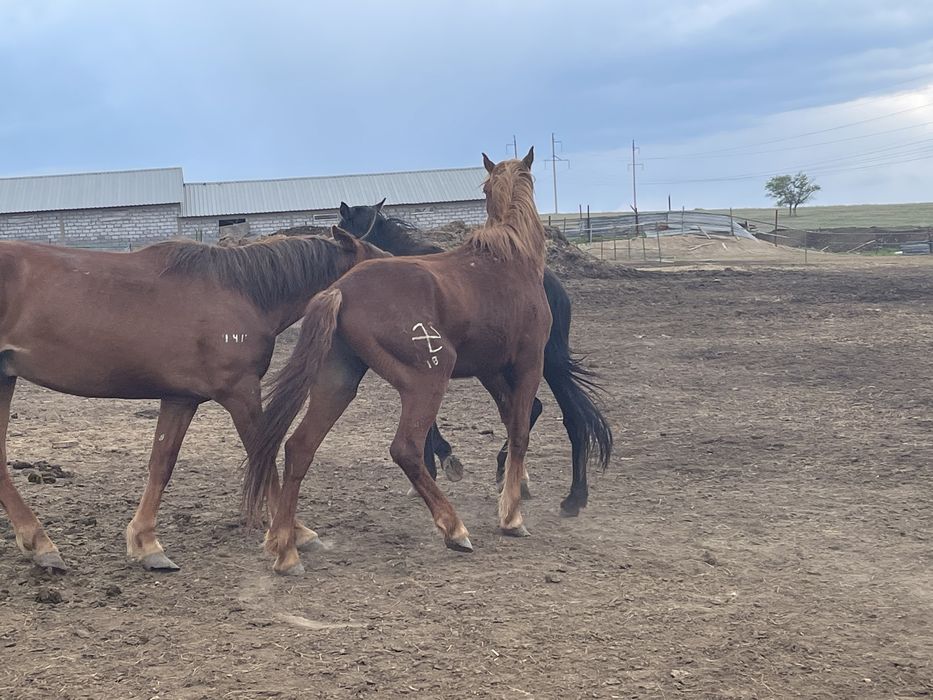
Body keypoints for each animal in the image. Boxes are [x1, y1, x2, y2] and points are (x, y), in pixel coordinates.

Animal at [0, 228, 387, 573]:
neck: (242, 292)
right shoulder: (240, 391)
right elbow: (263, 455)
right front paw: (289, 543)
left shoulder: (180, 398)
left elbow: (162, 463)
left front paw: (146, 544)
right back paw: (42, 543)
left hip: (4, 379)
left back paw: (38, 544)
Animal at [245, 148, 552, 575]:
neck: (509, 258)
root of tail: (341, 289)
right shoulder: (527, 364)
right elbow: (520, 431)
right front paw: (511, 517)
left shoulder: (493, 372)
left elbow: (511, 424)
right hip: (429, 379)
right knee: (405, 448)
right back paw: (454, 529)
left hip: (338, 384)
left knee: (299, 447)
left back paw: (286, 549)